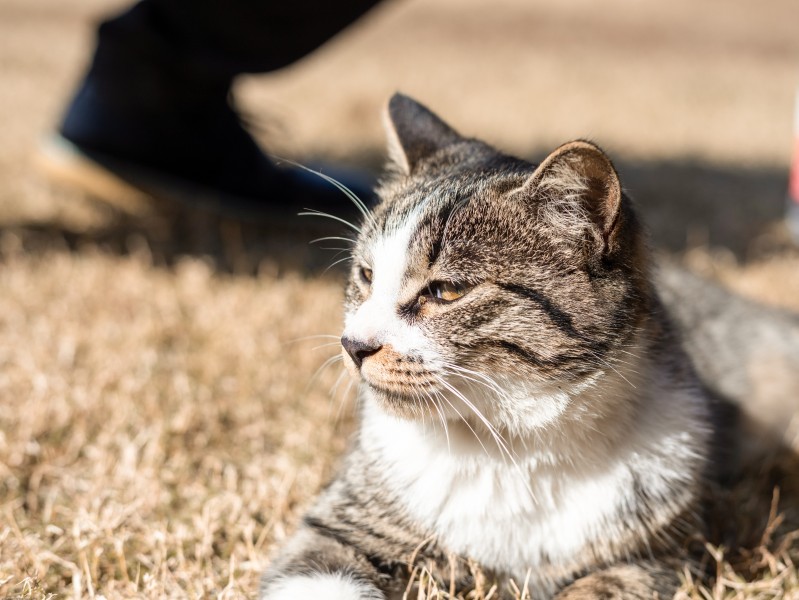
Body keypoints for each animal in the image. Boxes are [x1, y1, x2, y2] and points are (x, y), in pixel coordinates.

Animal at [260, 94, 799, 600]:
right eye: (366, 276)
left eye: (446, 291)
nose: (354, 345)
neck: (515, 448)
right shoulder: (337, 530)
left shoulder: (666, 558)